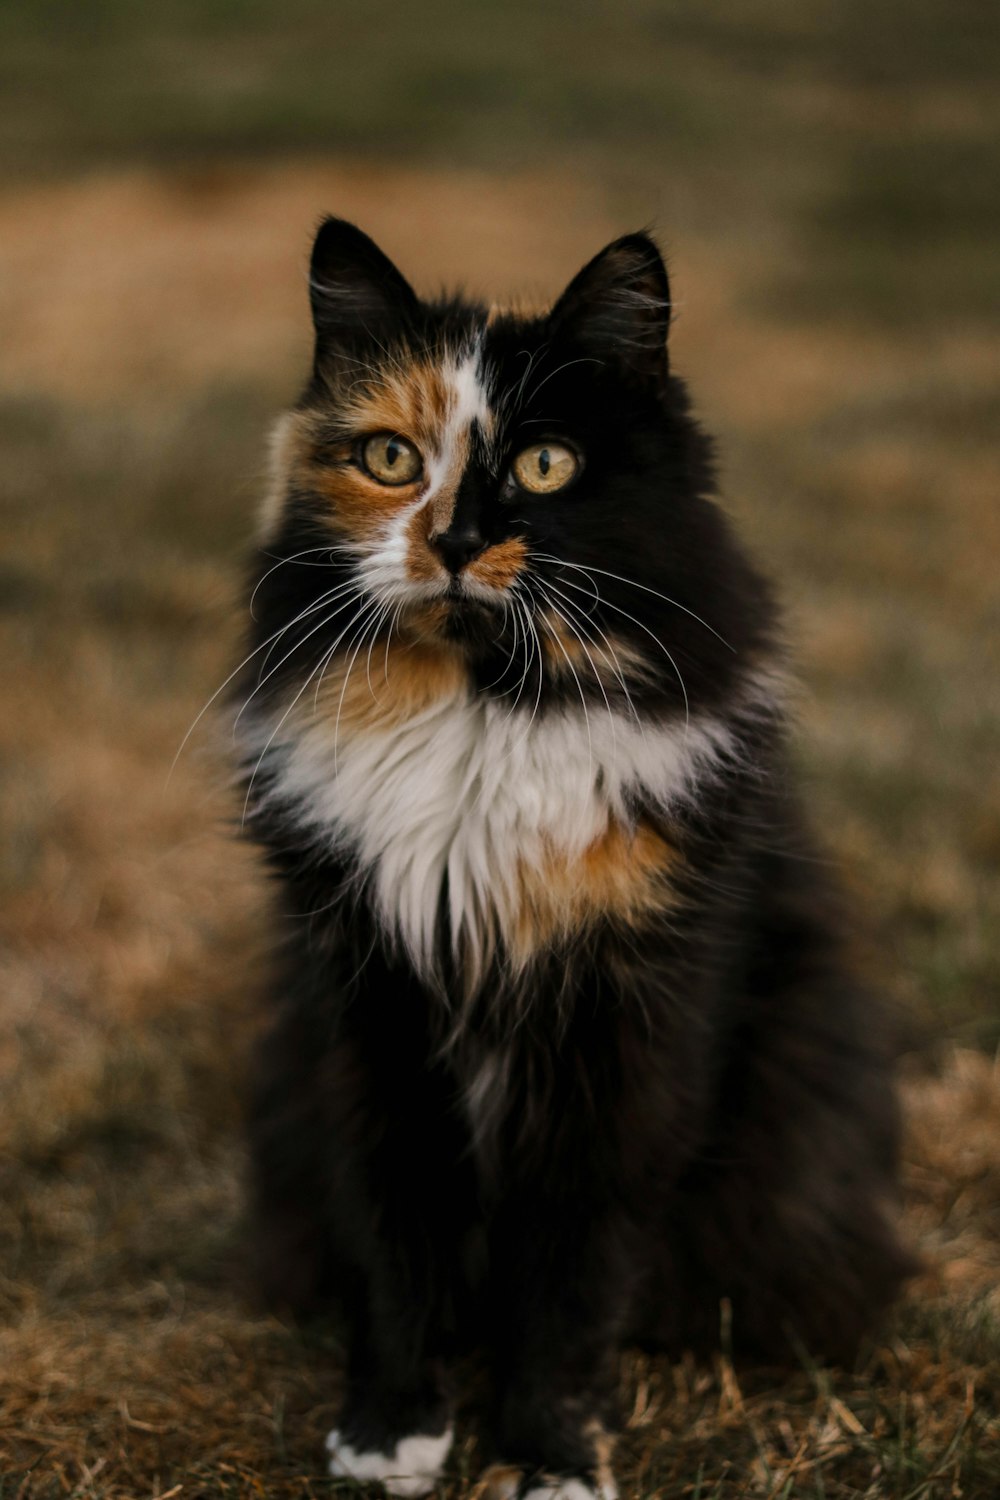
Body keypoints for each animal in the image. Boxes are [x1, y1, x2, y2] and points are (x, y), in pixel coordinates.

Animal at [232, 219, 917, 1500]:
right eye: (390, 459)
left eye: (545, 466)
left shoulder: (628, 1030)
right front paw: (391, 1433)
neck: (480, 711)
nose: (455, 541)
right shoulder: (370, 1011)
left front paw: (550, 1455)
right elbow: (392, 1236)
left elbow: (572, 1271)